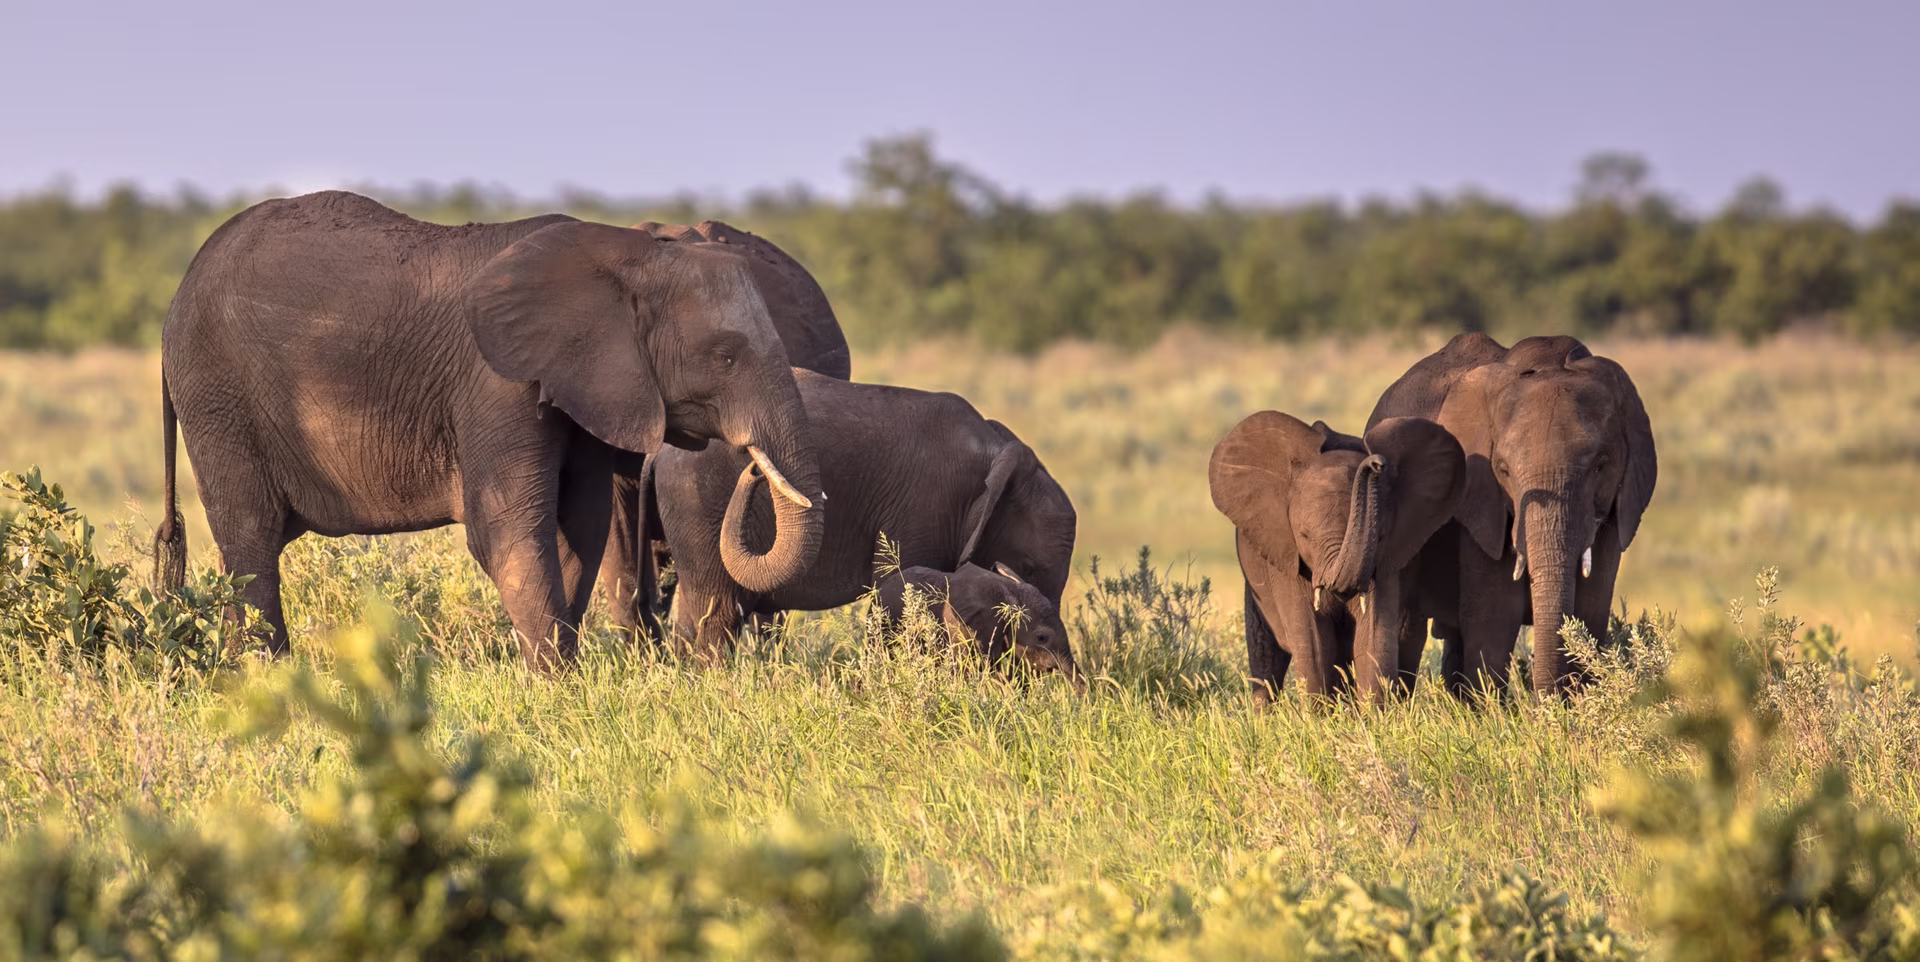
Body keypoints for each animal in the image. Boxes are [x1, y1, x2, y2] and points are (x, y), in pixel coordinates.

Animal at [154, 191, 826, 671]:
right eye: (726, 357)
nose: (752, 465)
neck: (626, 256)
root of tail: (174, 302)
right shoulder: (498, 384)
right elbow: (508, 529)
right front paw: (556, 687)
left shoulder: (584, 393)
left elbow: (578, 531)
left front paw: (561, 675)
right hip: (218, 396)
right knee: (251, 536)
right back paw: (270, 680)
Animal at [642, 369, 1078, 659]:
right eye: (1027, 567)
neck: (995, 449)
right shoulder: (925, 504)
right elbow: (905, 585)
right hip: (698, 500)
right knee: (714, 614)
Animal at [1210, 412, 1464, 703]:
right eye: (1304, 536)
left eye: (1380, 536)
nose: (1377, 463)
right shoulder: (1288, 559)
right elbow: (1313, 645)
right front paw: (1320, 714)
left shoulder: (1386, 561)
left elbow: (1373, 638)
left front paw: (1374, 713)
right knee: (1266, 656)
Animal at [1368, 332, 1657, 696]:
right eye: (1503, 469)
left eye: (1600, 465)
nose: (1542, 703)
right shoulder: (1480, 499)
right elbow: (1495, 616)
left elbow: (1591, 612)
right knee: (1407, 628)